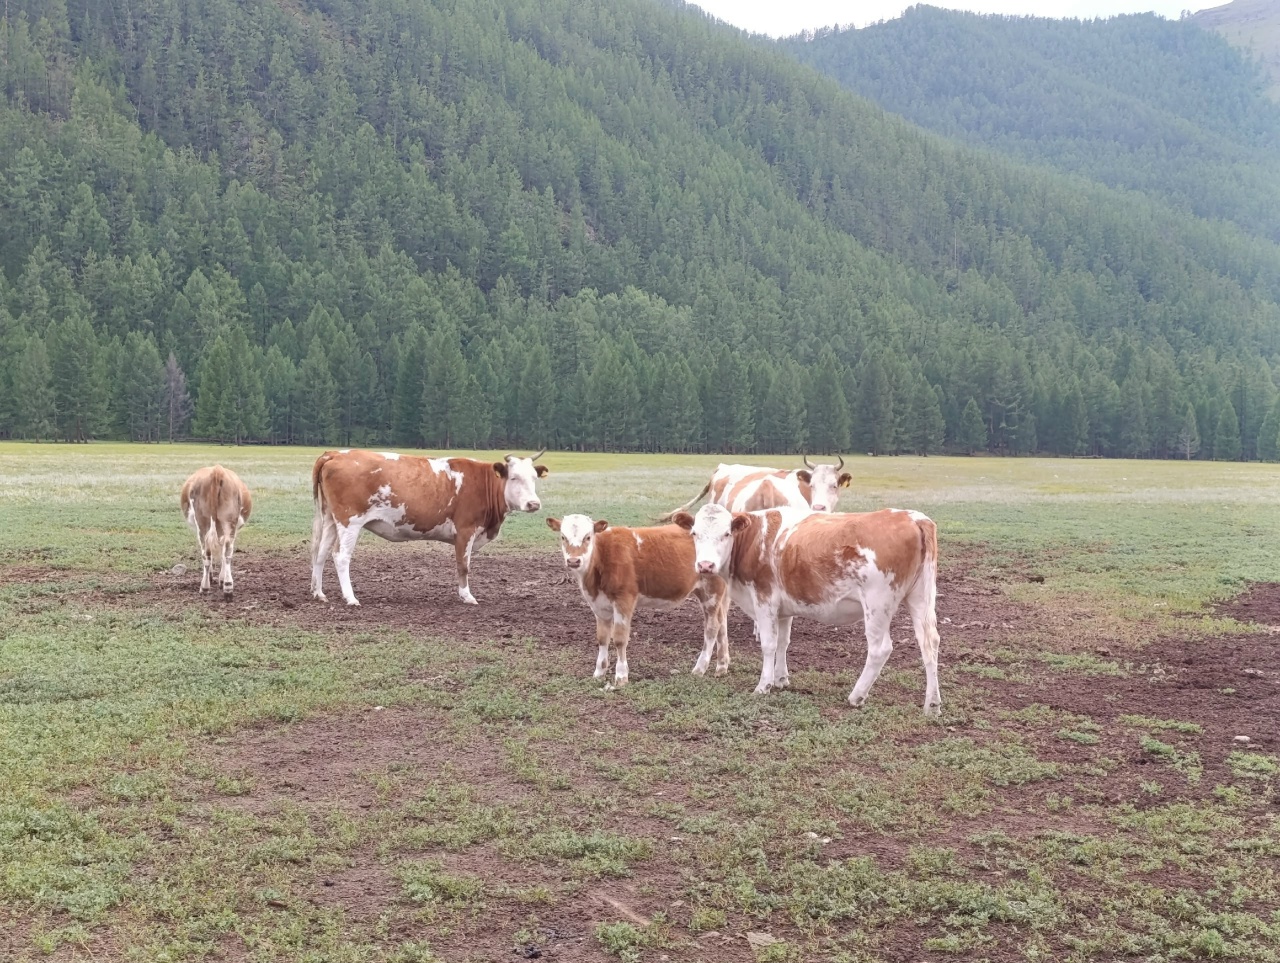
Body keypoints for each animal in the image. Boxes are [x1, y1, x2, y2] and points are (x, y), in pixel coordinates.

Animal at [180, 465, 252, 596]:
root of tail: (217, 470)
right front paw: (221, 579)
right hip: (229, 522)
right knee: (227, 552)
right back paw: (228, 586)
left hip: (202, 523)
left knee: (207, 553)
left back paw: (205, 586)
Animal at [310, 449, 548, 606]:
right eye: (514, 478)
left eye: (534, 478)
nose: (533, 504)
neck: (482, 483)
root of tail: (336, 453)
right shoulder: (465, 531)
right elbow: (463, 566)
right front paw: (467, 596)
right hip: (350, 522)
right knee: (341, 556)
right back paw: (350, 597)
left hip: (330, 519)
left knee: (320, 553)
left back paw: (318, 592)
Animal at [547, 514, 729, 688]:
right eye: (563, 537)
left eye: (588, 537)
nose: (573, 561)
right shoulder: (599, 606)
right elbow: (602, 638)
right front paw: (599, 672)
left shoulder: (624, 599)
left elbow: (620, 639)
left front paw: (621, 675)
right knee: (722, 623)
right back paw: (722, 666)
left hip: (712, 591)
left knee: (712, 627)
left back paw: (700, 668)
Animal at [674, 503, 941, 716]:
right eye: (695, 533)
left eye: (726, 533)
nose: (705, 565)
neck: (753, 541)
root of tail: (913, 518)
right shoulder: (784, 609)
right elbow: (783, 642)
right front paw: (781, 679)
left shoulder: (764, 599)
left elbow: (769, 644)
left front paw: (764, 685)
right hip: (921, 598)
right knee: (929, 644)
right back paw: (932, 703)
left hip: (877, 604)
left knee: (880, 649)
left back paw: (857, 695)